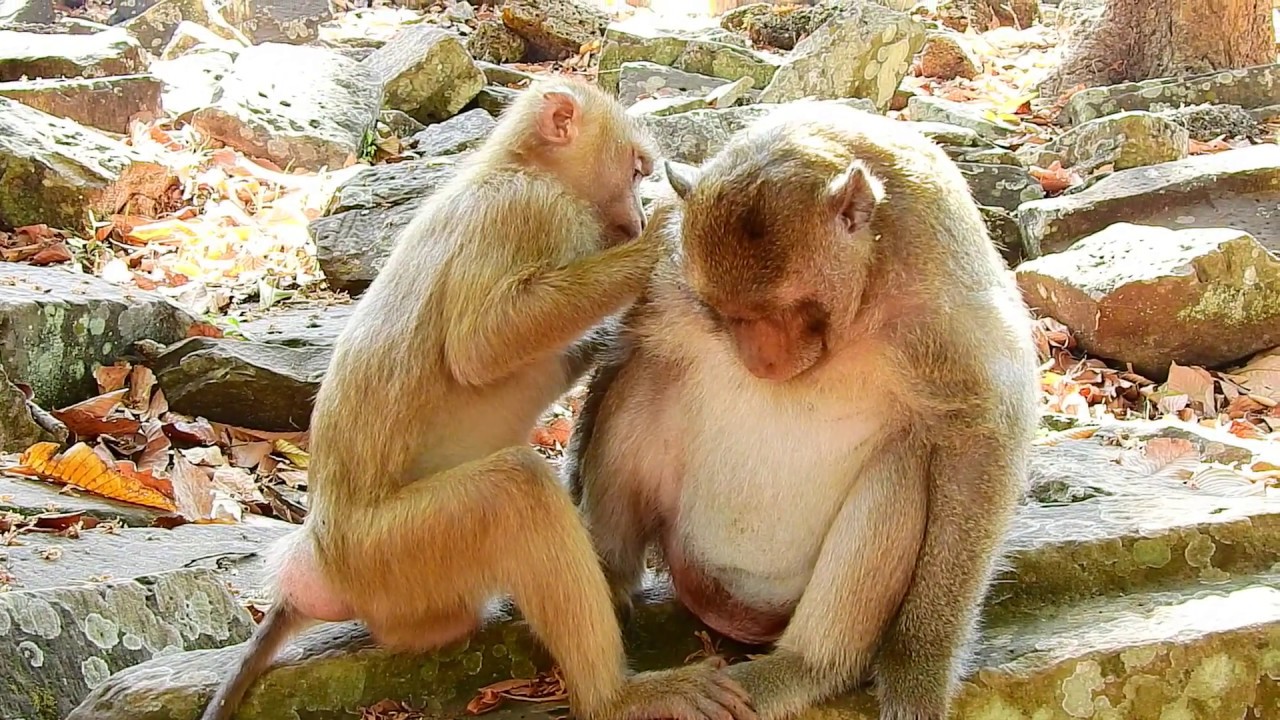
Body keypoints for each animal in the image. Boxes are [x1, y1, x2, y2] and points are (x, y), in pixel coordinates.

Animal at [199, 75, 755, 720]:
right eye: (638, 171)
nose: (638, 218)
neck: (512, 165)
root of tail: (319, 555)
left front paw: (612, 338)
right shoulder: (528, 210)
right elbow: (481, 344)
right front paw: (659, 243)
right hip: (389, 552)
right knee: (514, 494)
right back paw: (615, 696)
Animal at [565, 103, 1040, 720]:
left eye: (786, 308)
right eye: (723, 314)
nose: (760, 360)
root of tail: (731, 611)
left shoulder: (940, 301)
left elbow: (982, 436)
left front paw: (920, 665)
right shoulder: (666, 250)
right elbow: (627, 348)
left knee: (905, 465)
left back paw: (804, 666)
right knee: (643, 381)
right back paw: (608, 587)